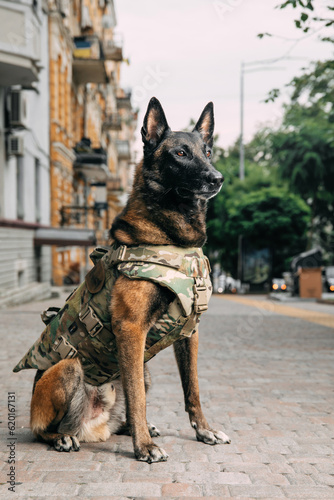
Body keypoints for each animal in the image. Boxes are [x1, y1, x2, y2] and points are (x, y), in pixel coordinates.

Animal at [28, 98, 230, 464]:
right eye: (180, 153)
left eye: (208, 151)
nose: (217, 178)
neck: (172, 238)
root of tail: (93, 427)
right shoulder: (131, 328)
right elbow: (138, 399)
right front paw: (144, 448)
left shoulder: (189, 333)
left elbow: (192, 389)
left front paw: (204, 430)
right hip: (69, 368)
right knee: (43, 429)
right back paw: (64, 438)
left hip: (142, 368)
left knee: (122, 412)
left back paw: (131, 428)